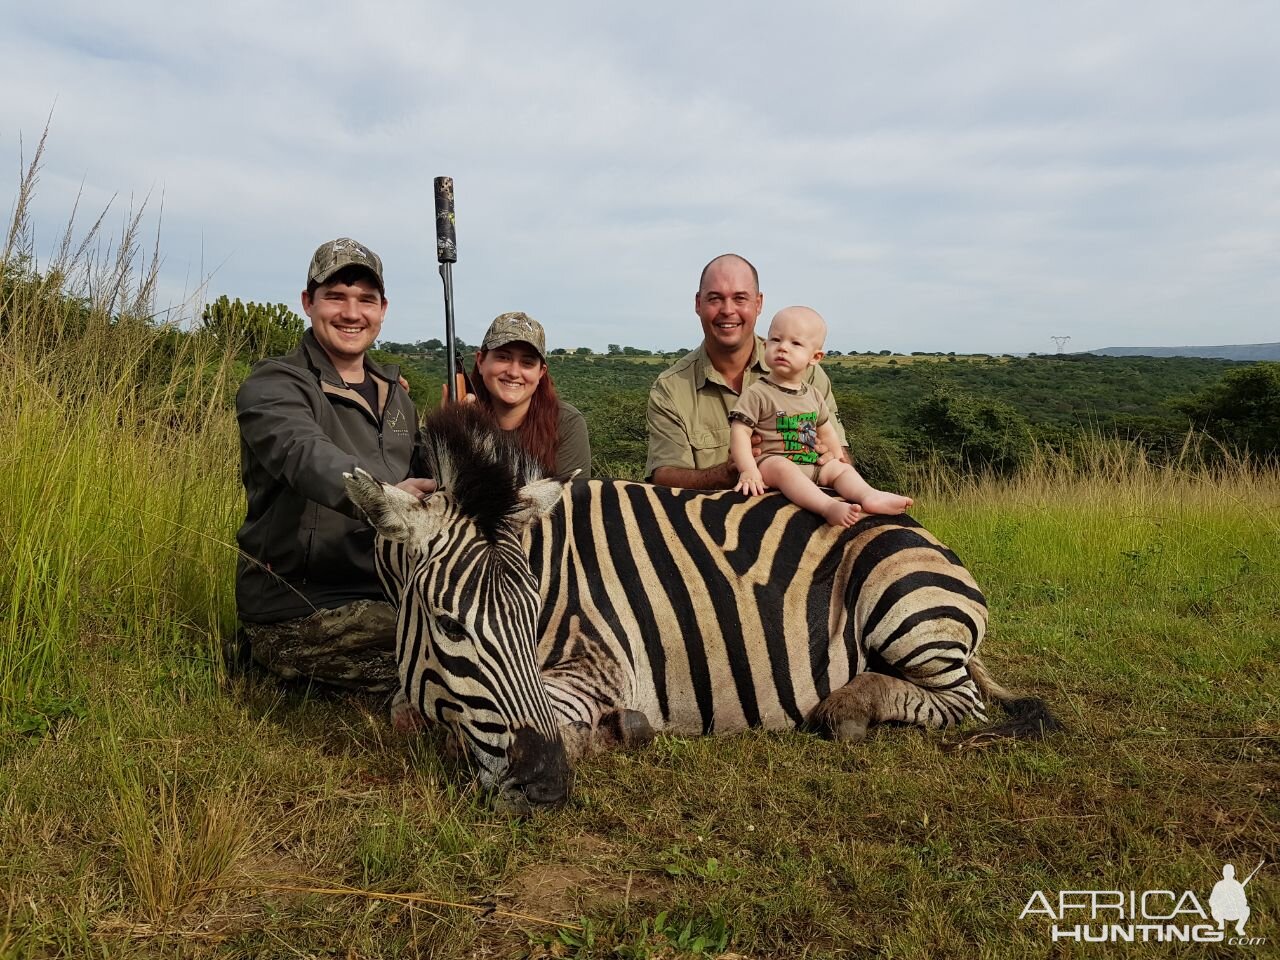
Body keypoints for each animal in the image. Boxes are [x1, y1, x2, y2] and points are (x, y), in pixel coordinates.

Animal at [345, 404, 1054, 814]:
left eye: (533, 613)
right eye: (448, 625)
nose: (545, 787)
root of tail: (926, 536)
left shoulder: (603, 663)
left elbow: (532, 717)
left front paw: (613, 732)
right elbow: (407, 711)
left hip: (902, 601)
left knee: (962, 703)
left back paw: (849, 709)